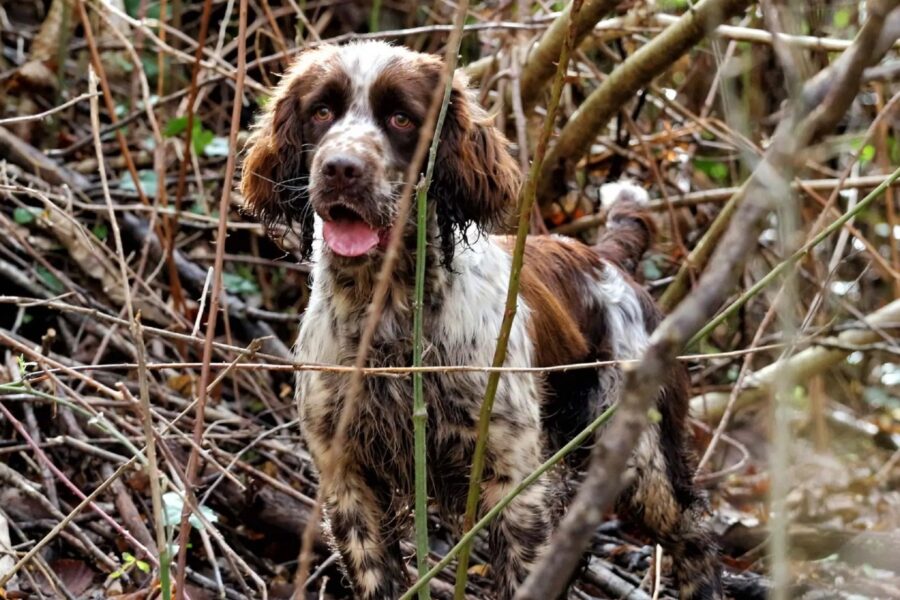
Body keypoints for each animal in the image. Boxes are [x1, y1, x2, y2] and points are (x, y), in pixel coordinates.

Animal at [241, 41, 724, 600]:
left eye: (402, 118)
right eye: (321, 111)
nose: (341, 168)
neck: (387, 312)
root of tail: (604, 258)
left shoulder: (511, 481)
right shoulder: (348, 479)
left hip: (641, 460)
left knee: (694, 532)